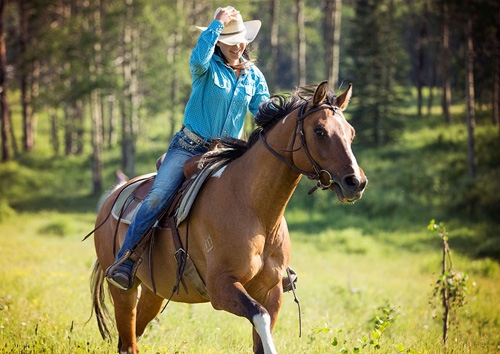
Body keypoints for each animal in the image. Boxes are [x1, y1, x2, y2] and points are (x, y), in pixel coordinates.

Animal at [89, 80, 368, 354]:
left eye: (351, 133)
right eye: (320, 131)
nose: (356, 182)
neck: (255, 210)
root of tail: (113, 195)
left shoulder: (272, 291)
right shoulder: (221, 286)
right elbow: (259, 316)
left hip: (153, 292)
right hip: (123, 292)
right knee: (127, 340)